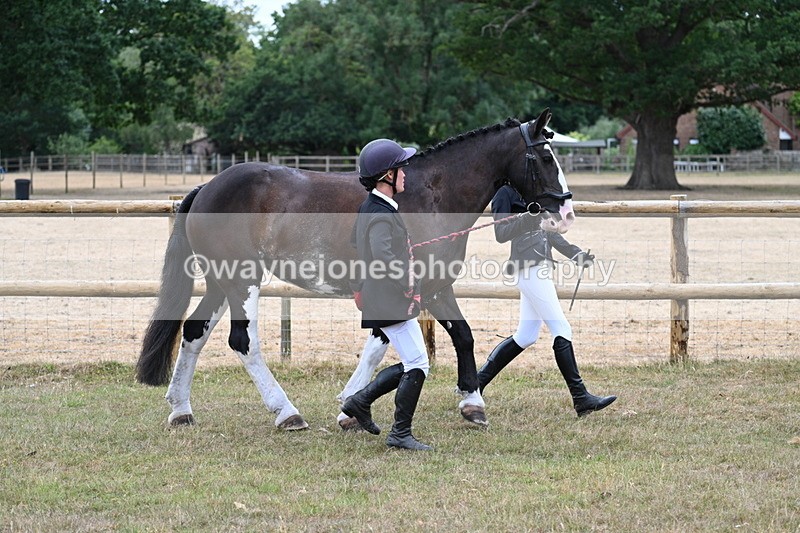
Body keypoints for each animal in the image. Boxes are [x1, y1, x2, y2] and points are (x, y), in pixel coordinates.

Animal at [135, 108, 575, 431]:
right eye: (545, 157)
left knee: (194, 332)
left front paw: (468, 403)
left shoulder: (430, 286)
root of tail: (207, 188)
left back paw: (180, 409)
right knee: (244, 342)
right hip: (242, 281)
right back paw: (286, 413)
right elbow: (417, 341)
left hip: (220, 283)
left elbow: (446, 338)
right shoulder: (420, 287)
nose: (566, 212)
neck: (427, 195)